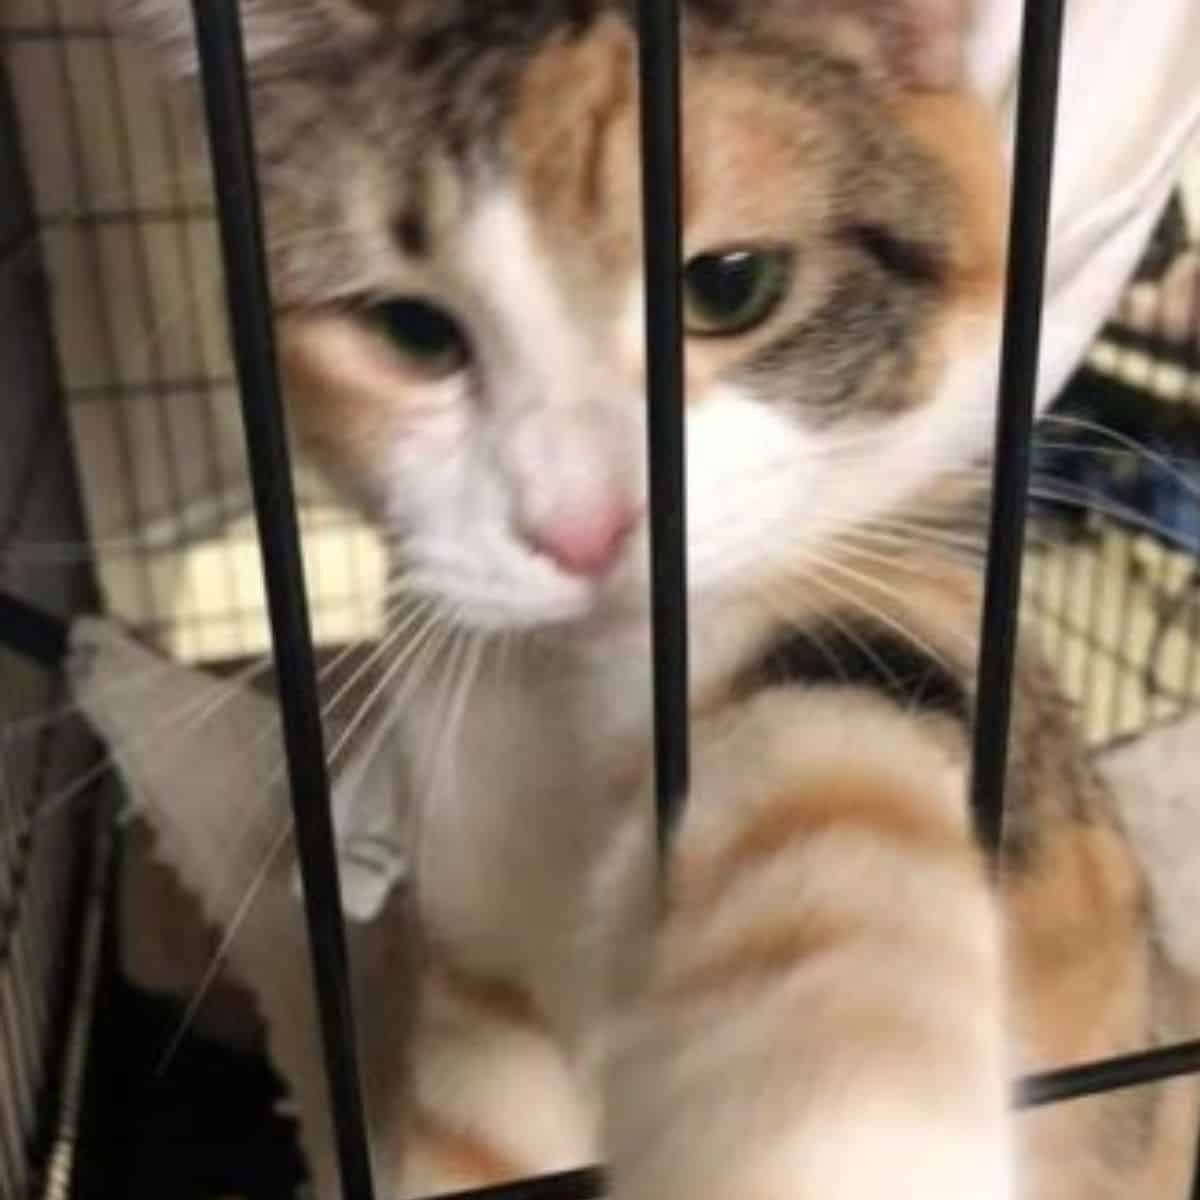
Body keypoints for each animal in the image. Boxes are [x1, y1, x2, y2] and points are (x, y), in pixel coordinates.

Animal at [110, 2, 1200, 1200]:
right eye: (411, 330)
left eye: (730, 284)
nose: (579, 528)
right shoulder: (480, 957)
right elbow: (480, 1127)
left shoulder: (901, 601)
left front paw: (833, 1127)